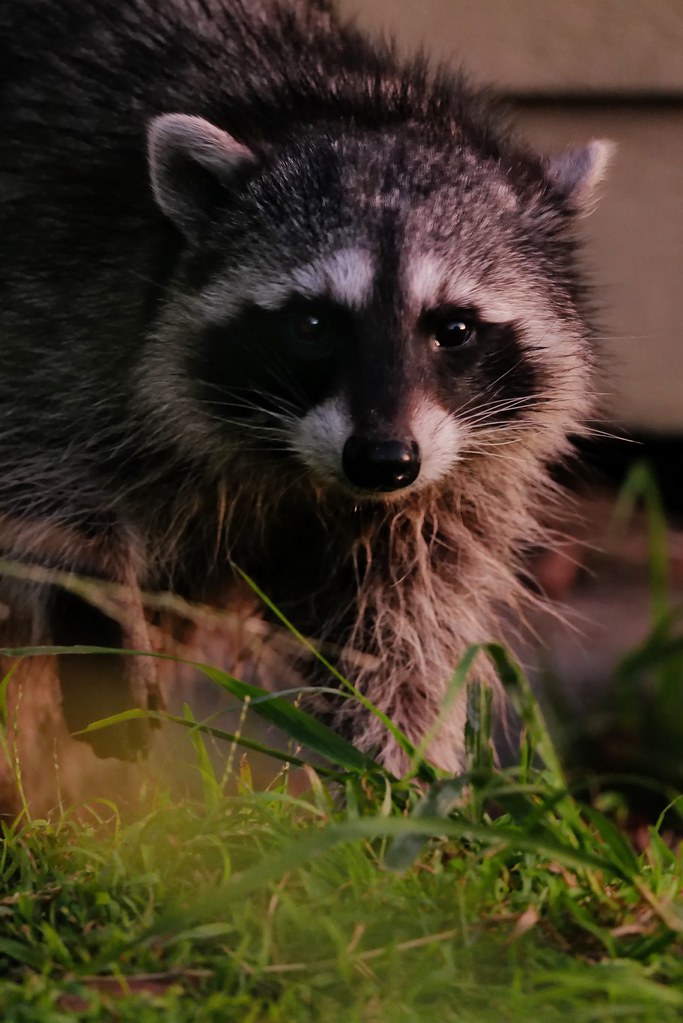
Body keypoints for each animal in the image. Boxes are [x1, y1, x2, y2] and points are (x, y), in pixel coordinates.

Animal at [0, 0, 609, 781]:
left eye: (454, 328)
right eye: (314, 323)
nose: (383, 461)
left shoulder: (445, 493)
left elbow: (398, 632)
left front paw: (396, 777)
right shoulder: (59, 292)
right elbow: (47, 478)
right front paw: (94, 601)